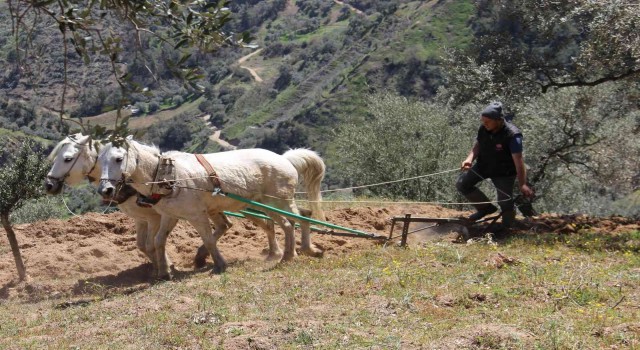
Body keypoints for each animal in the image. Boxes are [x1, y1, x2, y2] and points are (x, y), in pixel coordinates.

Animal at [97, 138, 328, 280]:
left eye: (119, 159)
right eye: (99, 161)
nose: (105, 190)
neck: (168, 177)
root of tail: (284, 158)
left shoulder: (196, 216)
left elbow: (208, 239)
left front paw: (219, 264)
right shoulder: (169, 216)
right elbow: (158, 241)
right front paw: (164, 272)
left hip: (278, 201)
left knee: (295, 221)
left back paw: (294, 254)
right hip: (268, 204)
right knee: (297, 220)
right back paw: (301, 251)